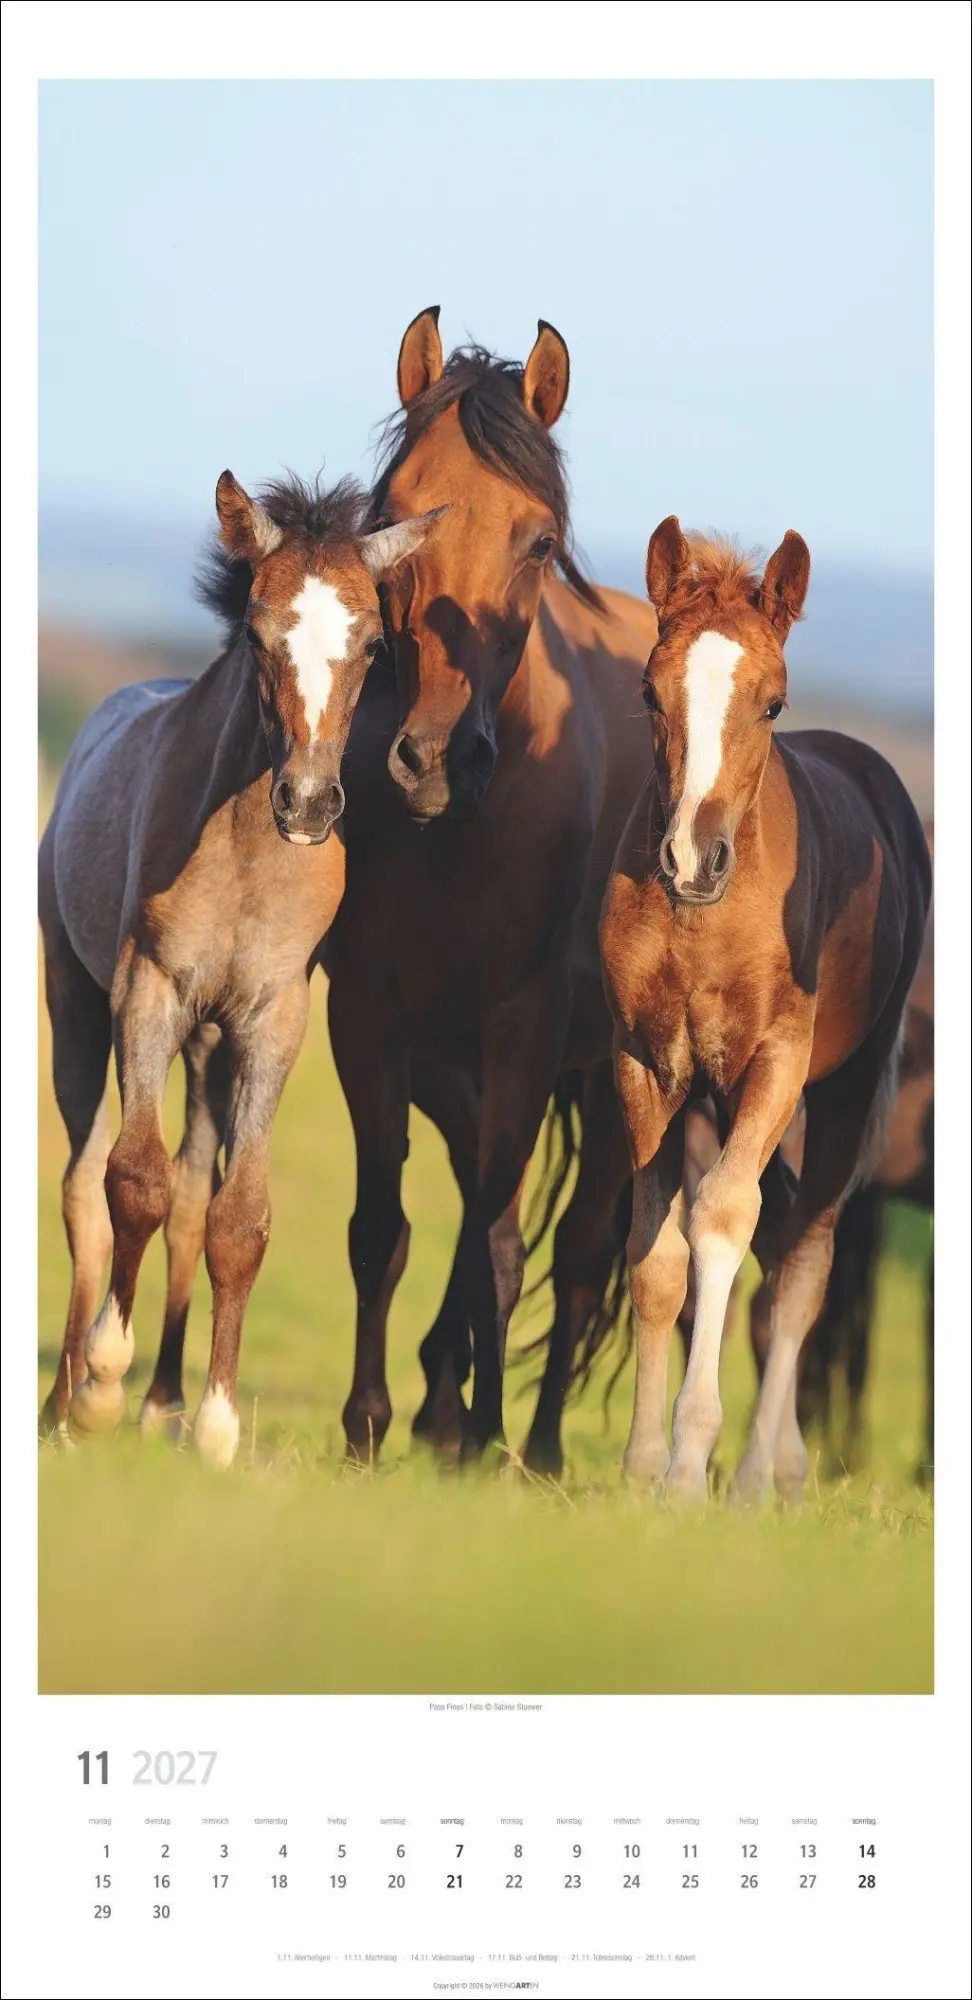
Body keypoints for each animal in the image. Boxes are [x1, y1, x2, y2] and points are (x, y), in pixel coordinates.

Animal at [39, 471, 440, 1464]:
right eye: (259, 632)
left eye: (372, 643)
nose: (308, 803)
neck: (246, 851)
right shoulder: (146, 994)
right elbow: (131, 1182)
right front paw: (102, 1380)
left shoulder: (269, 1019)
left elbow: (237, 1213)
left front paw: (216, 1422)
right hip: (75, 1002)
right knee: (84, 1183)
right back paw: (64, 1403)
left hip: (211, 1048)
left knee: (192, 1188)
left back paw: (165, 1404)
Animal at [326, 307, 656, 1461]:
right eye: (391, 516)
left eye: (539, 540)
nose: (435, 759)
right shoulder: (368, 1016)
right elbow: (383, 1229)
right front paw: (370, 1425)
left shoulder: (526, 1022)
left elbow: (510, 1248)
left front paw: (484, 1441)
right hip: (451, 1064)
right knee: (478, 1206)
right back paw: (440, 1403)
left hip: (607, 1078)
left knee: (584, 1247)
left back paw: (537, 1443)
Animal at [599, 516, 932, 1501]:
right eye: (648, 691)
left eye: (774, 703)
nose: (691, 860)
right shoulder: (645, 1065)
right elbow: (658, 1253)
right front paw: (640, 1468)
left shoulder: (776, 1064)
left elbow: (720, 1223)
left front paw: (687, 1468)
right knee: (781, 1234)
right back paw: (780, 1466)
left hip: (844, 1091)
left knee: (804, 1256)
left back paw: (754, 1479)